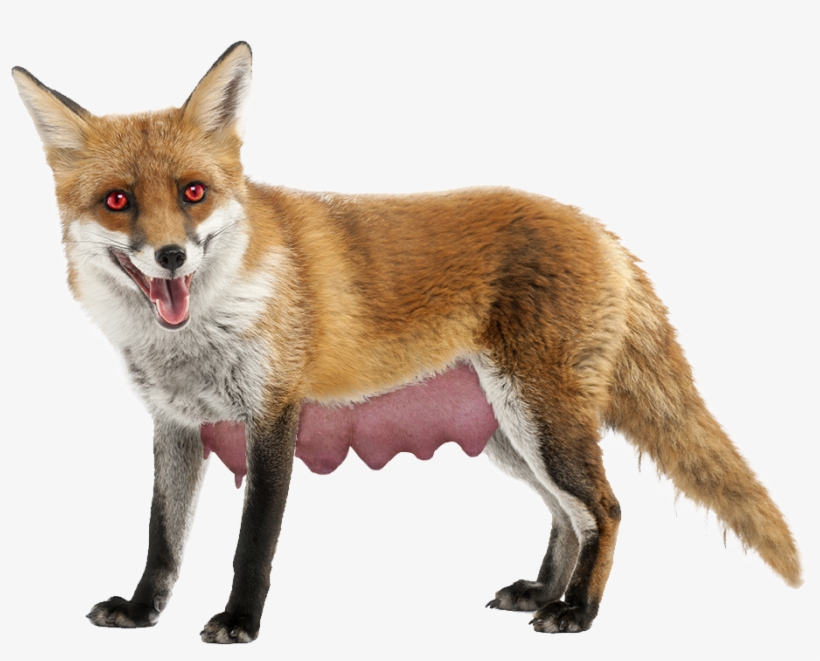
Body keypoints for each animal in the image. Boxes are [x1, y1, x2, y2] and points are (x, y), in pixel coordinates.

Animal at [12, 41, 802, 644]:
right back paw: (543, 589)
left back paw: (577, 609)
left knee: (603, 509)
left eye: (193, 192)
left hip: (541, 422)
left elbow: (251, 545)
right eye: (118, 201)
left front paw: (239, 622)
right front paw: (143, 610)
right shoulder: (176, 424)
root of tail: (598, 228)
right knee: (565, 515)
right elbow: (162, 537)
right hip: (511, 434)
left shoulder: (273, 416)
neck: (201, 333)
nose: (171, 256)